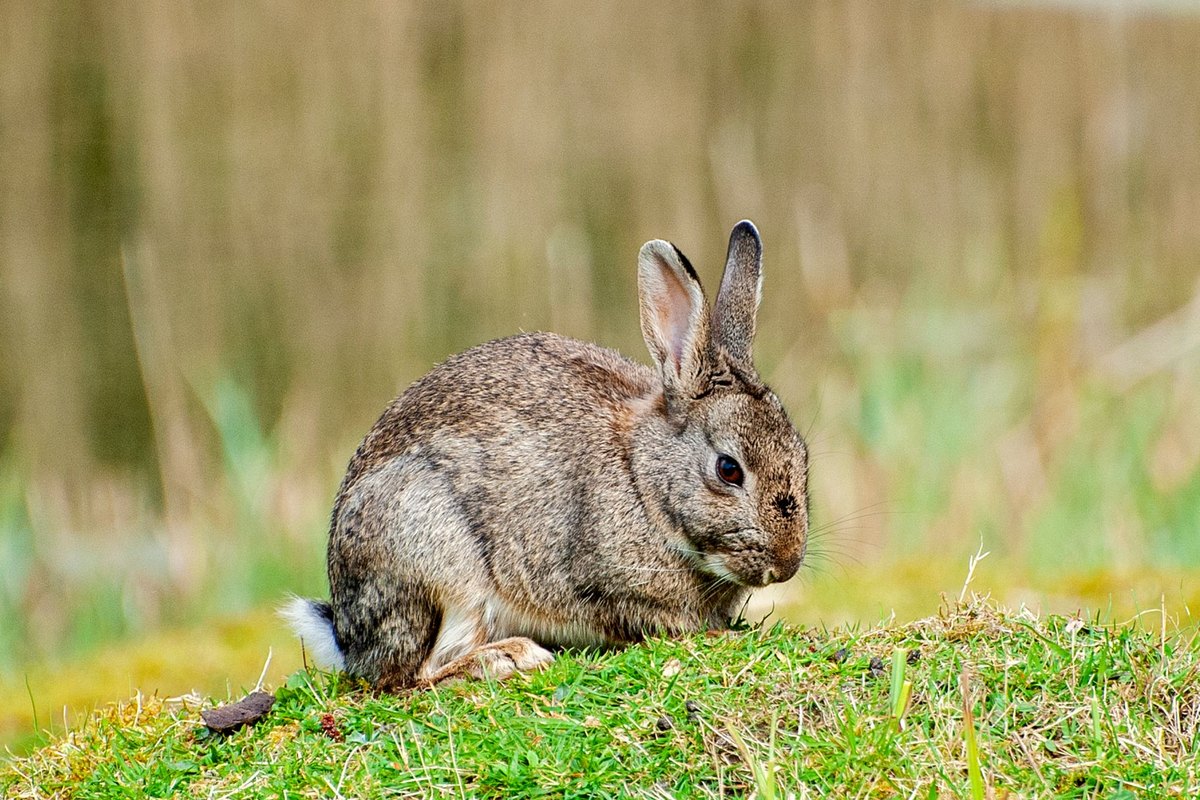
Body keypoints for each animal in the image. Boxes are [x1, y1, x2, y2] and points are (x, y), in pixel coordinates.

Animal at [283, 220, 810, 690]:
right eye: (729, 469)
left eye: (802, 457)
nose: (786, 565)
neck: (642, 479)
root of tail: (347, 637)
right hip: (433, 556)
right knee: (412, 674)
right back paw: (510, 657)